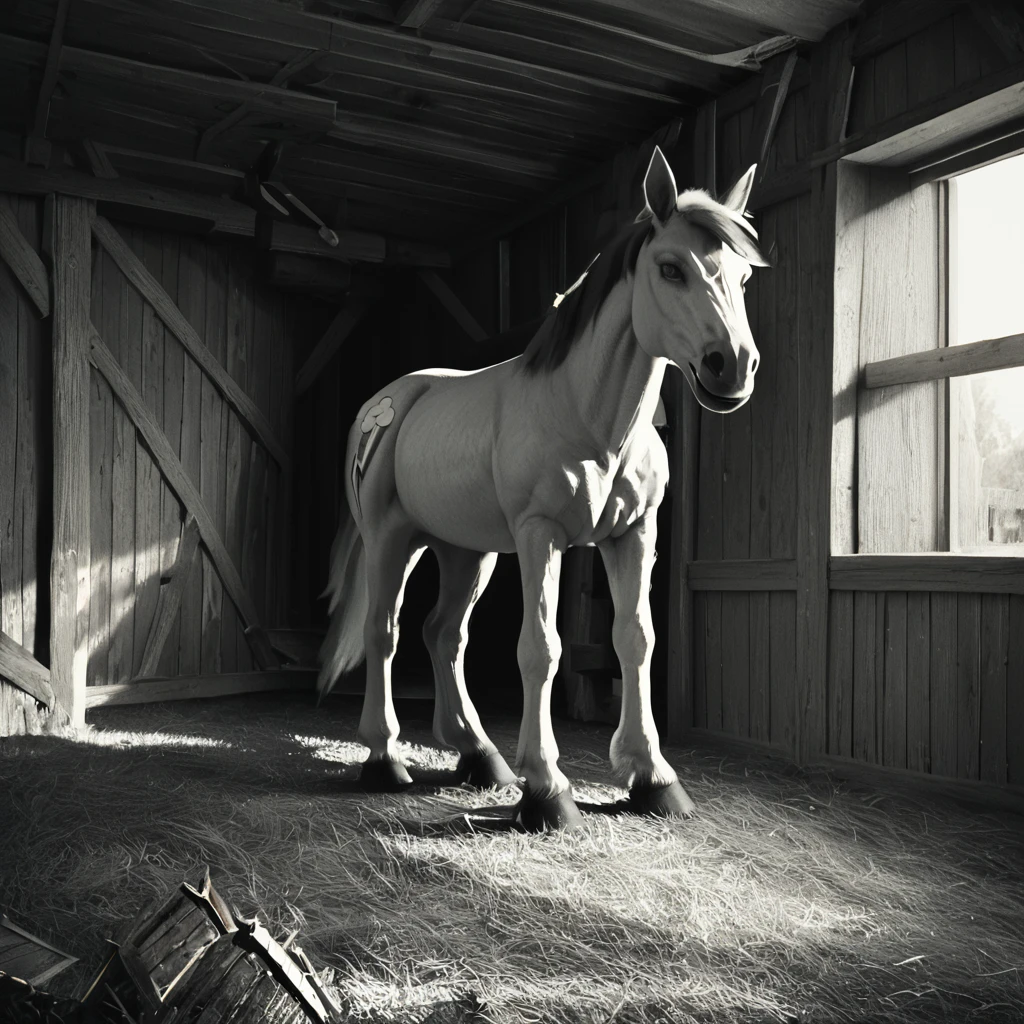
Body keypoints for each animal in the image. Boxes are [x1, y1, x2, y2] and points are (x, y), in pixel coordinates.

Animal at [319, 146, 770, 831]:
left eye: (742, 279)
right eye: (670, 268)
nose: (733, 367)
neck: (589, 418)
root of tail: (385, 404)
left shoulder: (634, 535)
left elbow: (636, 639)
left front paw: (652, 776)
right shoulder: (541, 537)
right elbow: (541, 648)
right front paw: (547, 788)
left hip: (466, 551)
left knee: (443, 634)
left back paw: (478, 754)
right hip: (393, 539)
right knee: (384, 631)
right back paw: (385, 757)